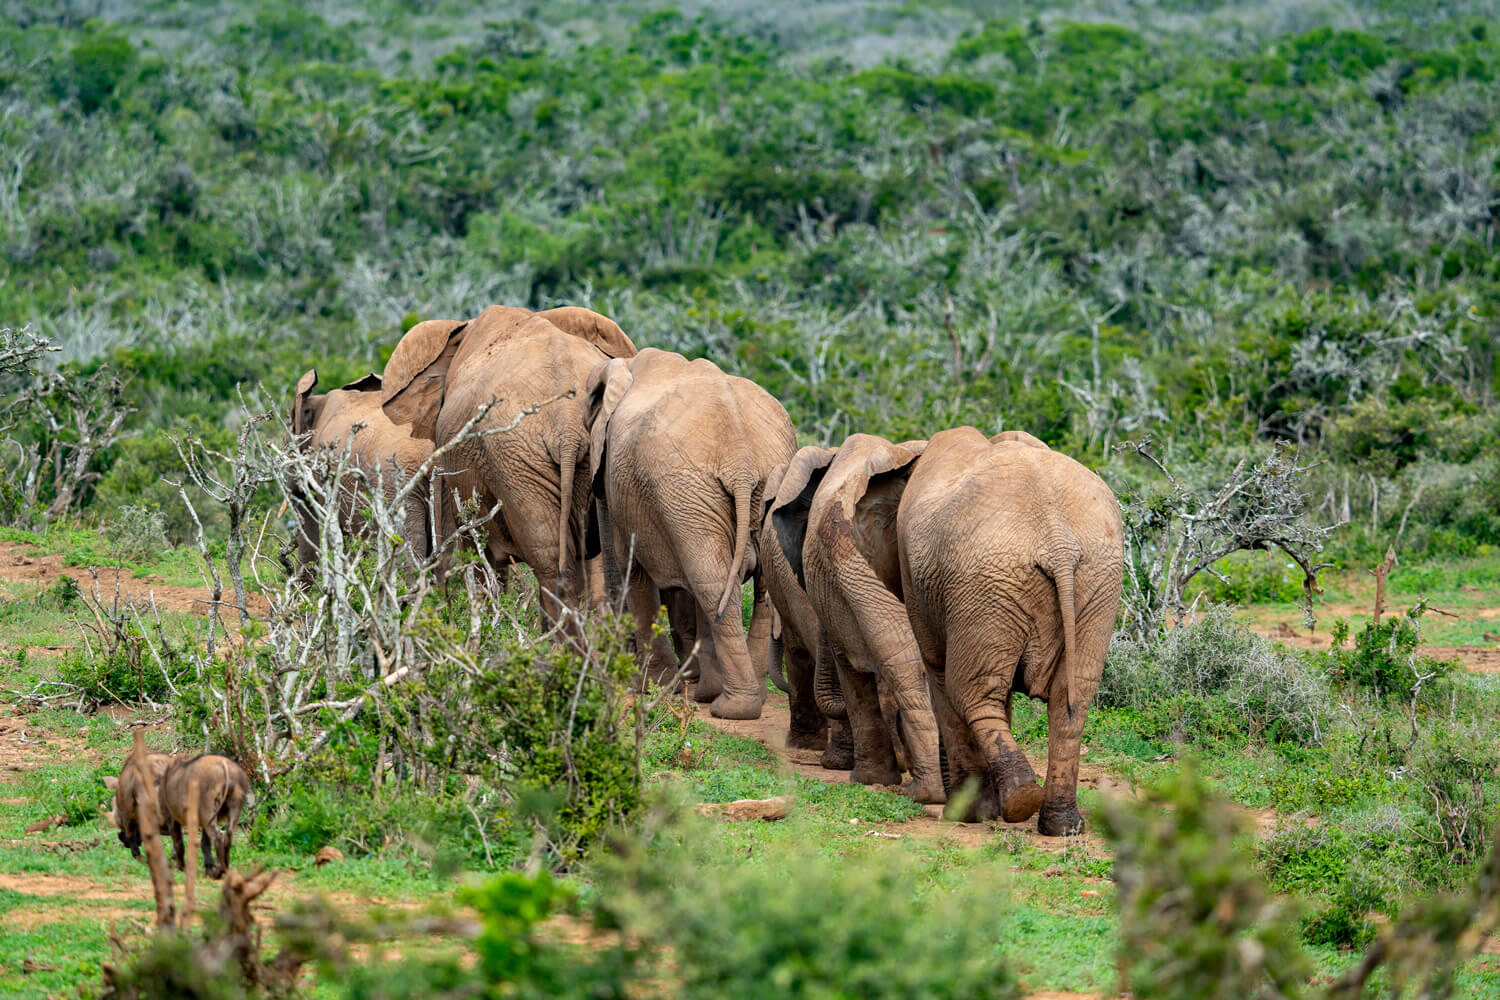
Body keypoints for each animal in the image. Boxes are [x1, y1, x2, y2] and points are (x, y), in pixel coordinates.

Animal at [582, 347, 798, 716]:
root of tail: (740, 460)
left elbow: (632, 566)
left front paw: (653, 686)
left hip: (685, 491)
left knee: (709, 580)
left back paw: (728, 706)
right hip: (752, 483)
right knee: (753, 585)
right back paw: (742, 696)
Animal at [876, 431, 1122, 839]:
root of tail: (1058, 542)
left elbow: (938, 672)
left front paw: (966, 815)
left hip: (988, 580)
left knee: (969, 692)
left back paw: (1010, 805)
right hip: (1091, 578)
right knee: (1070, 700)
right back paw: (1060, 825)